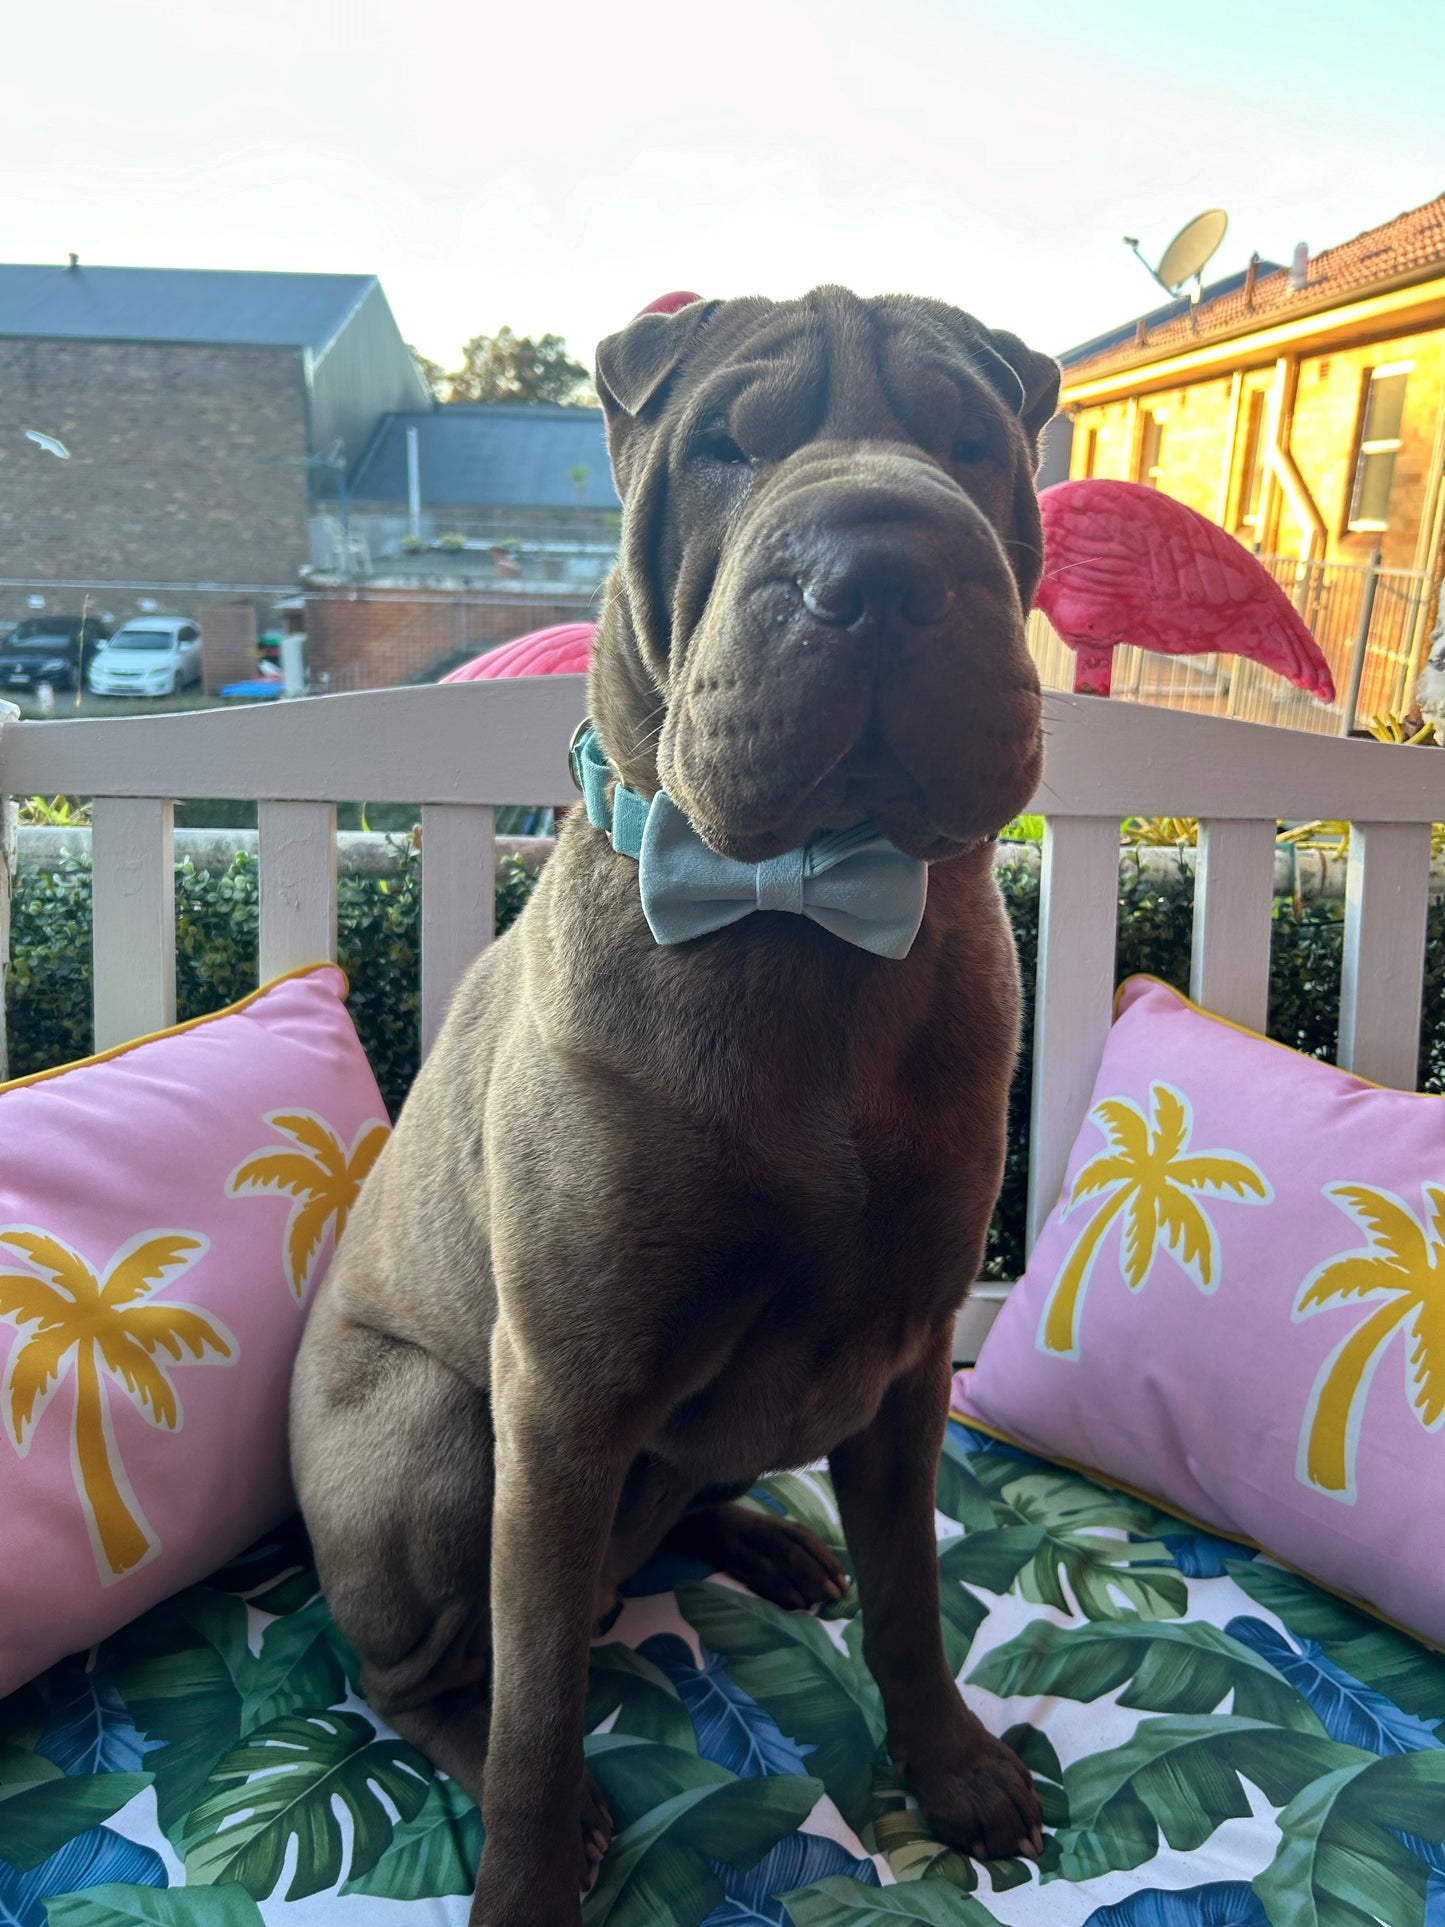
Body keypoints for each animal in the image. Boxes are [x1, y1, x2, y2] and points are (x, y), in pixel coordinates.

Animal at [290, 285, 1063, 1927]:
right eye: (725, 448)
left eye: (970, 440)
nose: (880, 570)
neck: (809, 923)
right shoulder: (560, 1401)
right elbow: (533, 1710)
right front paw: (525, 1881)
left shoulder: (909, 1356)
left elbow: (911, 1594)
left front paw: (948, 1763)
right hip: (435, 1439)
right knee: (420, 1676)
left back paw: (766, 1539)